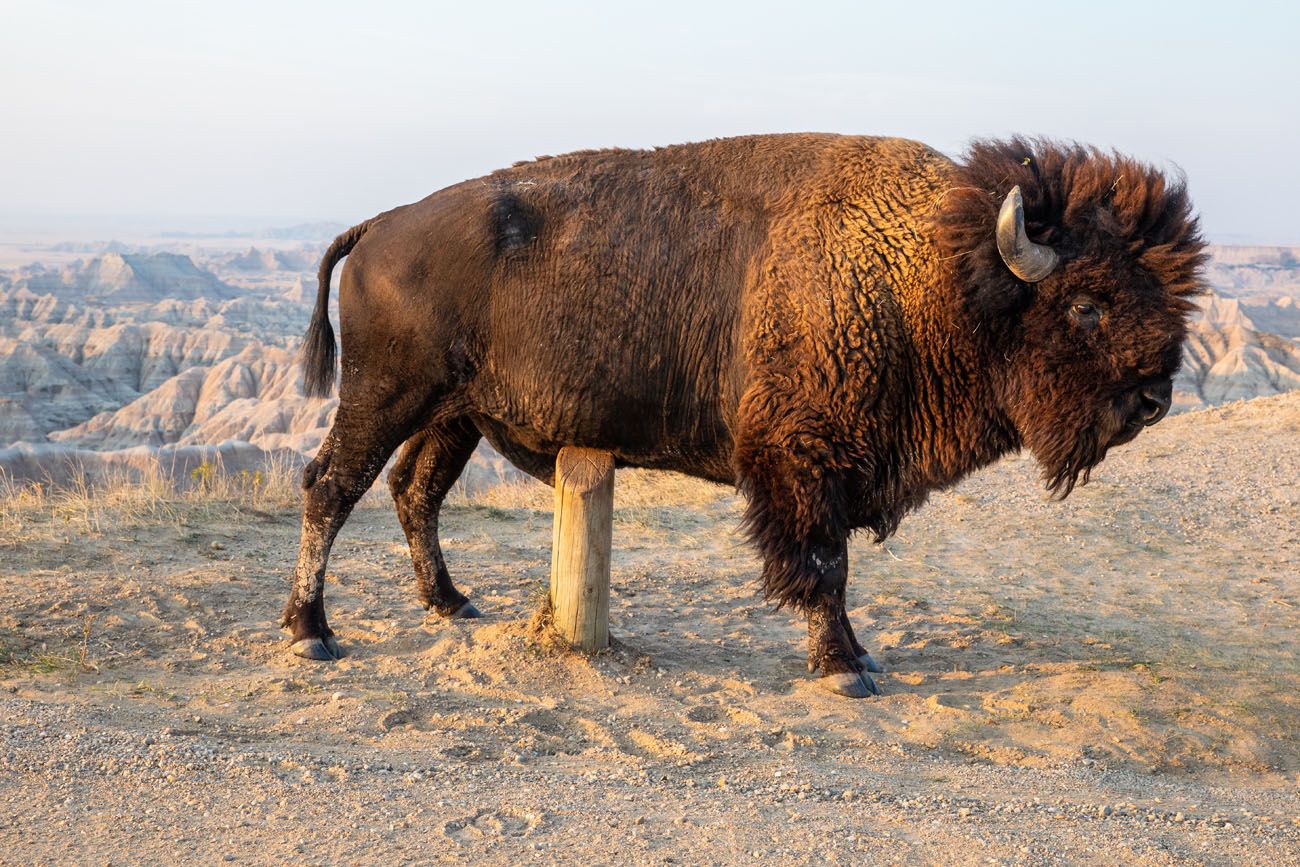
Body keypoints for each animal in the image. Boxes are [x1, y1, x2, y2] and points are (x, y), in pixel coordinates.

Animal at [284, 133, 1206, 696]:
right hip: (385, 396)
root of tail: (379, 224)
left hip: (454, 415)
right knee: (331, 486)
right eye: (1088, 304)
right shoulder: (803, 463)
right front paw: (843, 667)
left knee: (415, 490)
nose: (1155, 398)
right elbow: (824, 566)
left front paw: (857, 656)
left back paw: (452, 603)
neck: (931, 273)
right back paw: (311, 631)